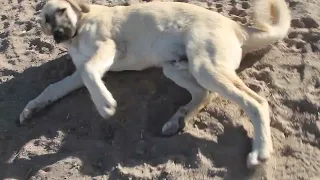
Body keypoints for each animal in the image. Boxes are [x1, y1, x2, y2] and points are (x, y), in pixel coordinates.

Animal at [18, 0, 292, 167]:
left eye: (62, 10)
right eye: (45, 21)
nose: (58, 35)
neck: (81, 26)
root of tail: (237, 26)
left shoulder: (108, 48)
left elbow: (88, 71)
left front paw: (105, 104)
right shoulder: (78, 74)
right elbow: (53, 87)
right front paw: (31, 108)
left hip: (206, 67)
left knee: (256, 102)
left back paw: (260, 150)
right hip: (175, 67)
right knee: (204, 94)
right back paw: (176, 119)